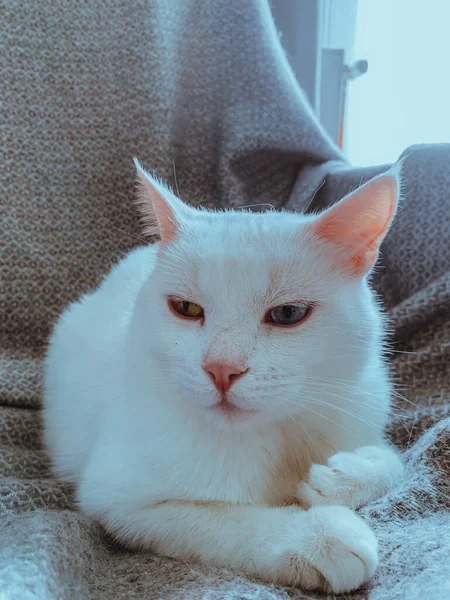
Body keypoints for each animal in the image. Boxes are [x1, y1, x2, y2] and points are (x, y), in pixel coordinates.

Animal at [44, 161, 404, 596]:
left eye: (288, 314)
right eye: (186, 308)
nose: (221, 368)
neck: (276, 437)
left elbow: (393, 459)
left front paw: (342, 476)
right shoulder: (123, 500)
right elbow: (225, 521)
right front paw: (319, 537)